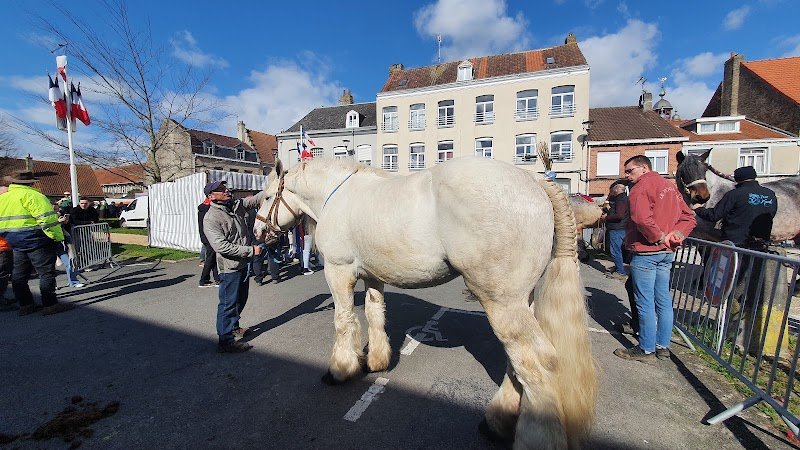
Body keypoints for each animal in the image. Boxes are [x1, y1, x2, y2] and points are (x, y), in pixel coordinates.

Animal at [253, 157, 597, 449]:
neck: (336, 196)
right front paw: (376, 361)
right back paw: (497, 421)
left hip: (502, 303)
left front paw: (340, 370)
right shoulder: (372, 276)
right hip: (520, 302)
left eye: (268, 197)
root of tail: (534, 181)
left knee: (537, 363)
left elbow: (343, 321)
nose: (257, 232)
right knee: (518, 364)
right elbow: (375, 315)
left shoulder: (339, 272)